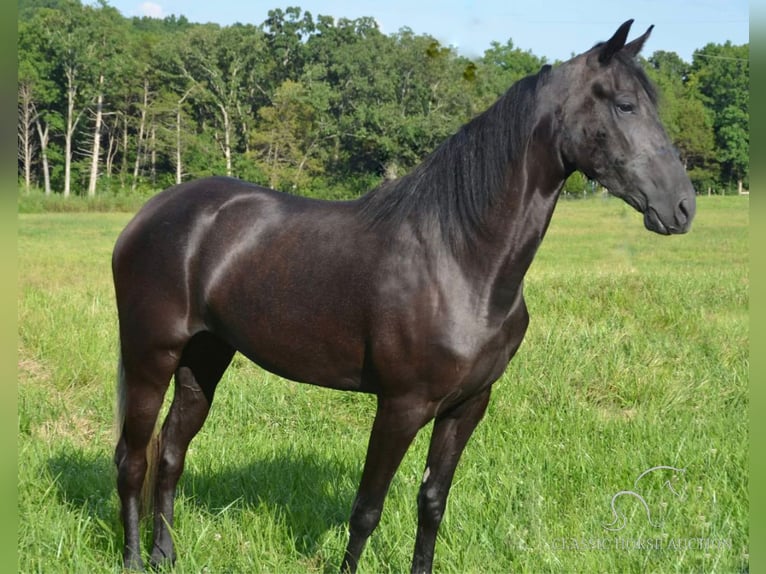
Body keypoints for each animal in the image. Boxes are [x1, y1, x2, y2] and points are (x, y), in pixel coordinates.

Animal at [112, 20, 696, 572]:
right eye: (624, 105)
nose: (682, 206)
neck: (460, 258)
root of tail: (150, 213)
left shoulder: (467, 406)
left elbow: (432, 501)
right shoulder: (401, 405)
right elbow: (367, 508)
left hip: (205, 356)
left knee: (171, 452)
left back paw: (166, 554)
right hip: (150, 356)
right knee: (133, 459)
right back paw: (136, 559)